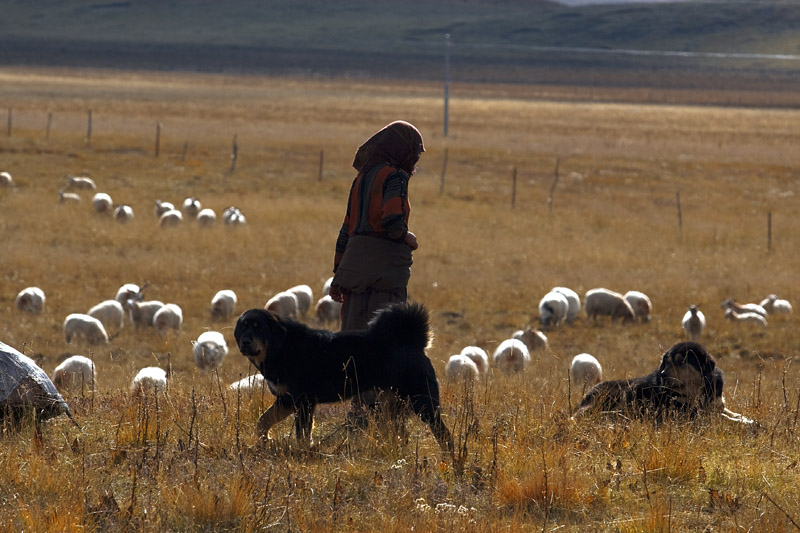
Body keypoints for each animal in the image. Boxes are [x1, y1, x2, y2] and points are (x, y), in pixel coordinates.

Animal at [234, 300, 454, 454]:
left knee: (444, 434)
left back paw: (449, 459)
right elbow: (262, 421)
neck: (282, 347)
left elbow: (302, 433)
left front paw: (304, 451)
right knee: (400, 433)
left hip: (422, 402)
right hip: (390, 405)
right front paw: (265, 441)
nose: (245, 342)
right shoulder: (287, 400)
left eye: (258, 327)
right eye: (243, 327)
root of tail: (413, 341)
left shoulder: (303, 401)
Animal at [572, 342, 752, 426]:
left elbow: (729, 412)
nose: (663, 374)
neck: (696, 392)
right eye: (667, 362)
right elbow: (723, 418)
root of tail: (586, 395)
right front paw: (746, 423)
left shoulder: (715, 405)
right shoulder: (687, 414)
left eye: (680, 361)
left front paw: (745, 419)